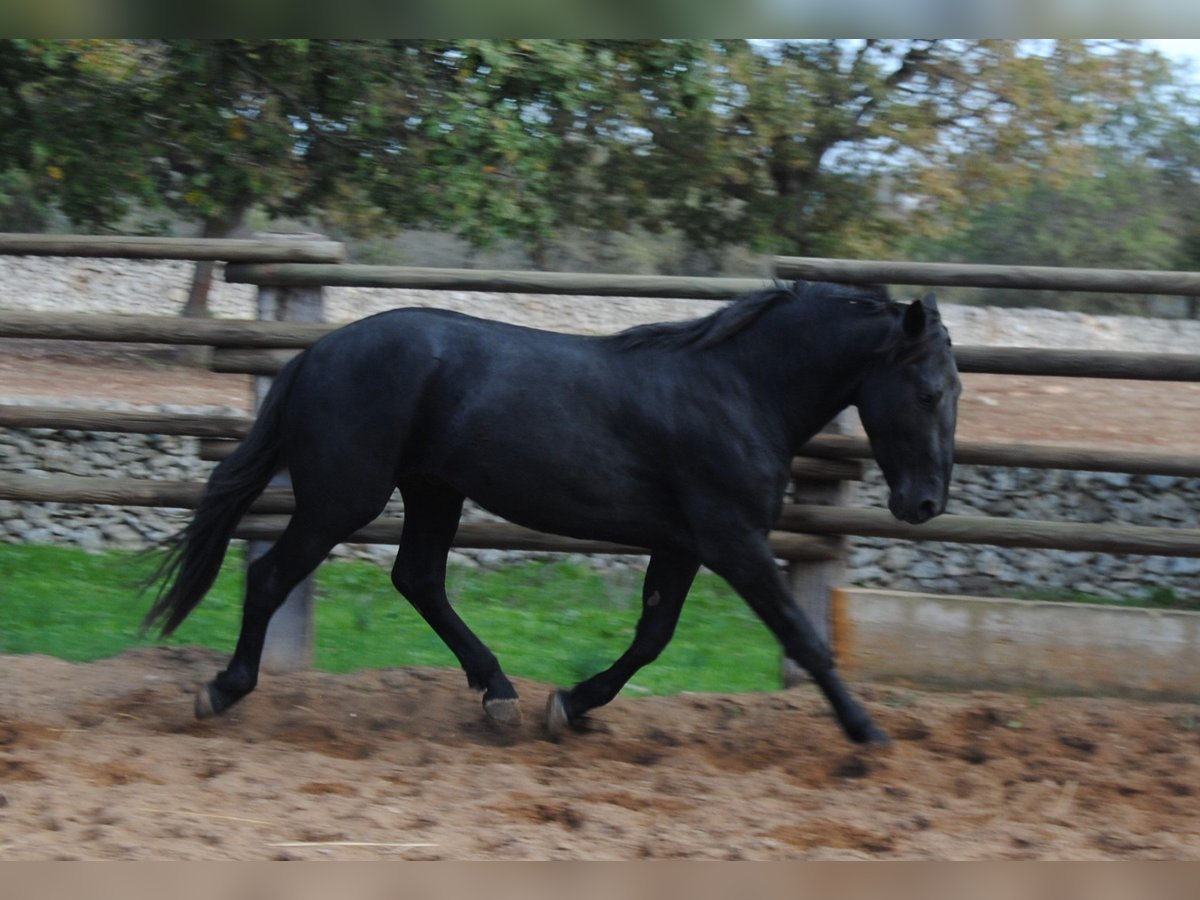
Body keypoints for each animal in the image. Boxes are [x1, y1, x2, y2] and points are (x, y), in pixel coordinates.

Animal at [145, 282, 960, 748]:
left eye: (952, 389)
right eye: (927, 392)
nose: (924, 503)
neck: (737, 390)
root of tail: (316, 354)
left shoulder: (683, 544)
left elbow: (652, 638)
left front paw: (569, 705)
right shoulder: (733, 540)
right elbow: (804, 637)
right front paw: (869, 735)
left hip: (432, 490)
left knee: (419, 579)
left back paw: (500, 695)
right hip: (344, 497)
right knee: (272, 576)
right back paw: (223, 689)